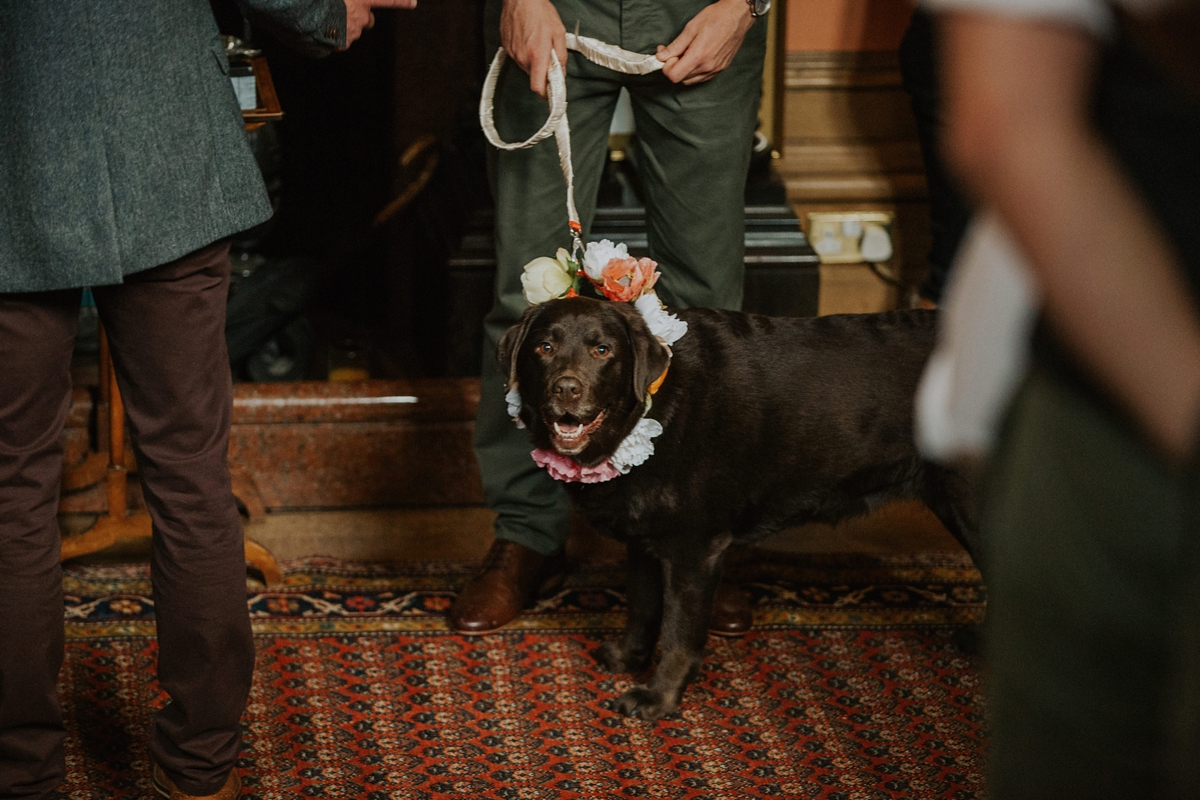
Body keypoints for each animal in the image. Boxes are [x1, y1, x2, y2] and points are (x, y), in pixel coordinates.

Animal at [496, 297, 974, 724]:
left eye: (602, 350)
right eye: (545, 347)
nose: (566, 389)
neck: (658, 406)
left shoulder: (693, 550)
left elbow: (678, 632)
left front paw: (658, 698)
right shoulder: (645, 541)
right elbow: (642, 606)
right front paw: (630, 658)